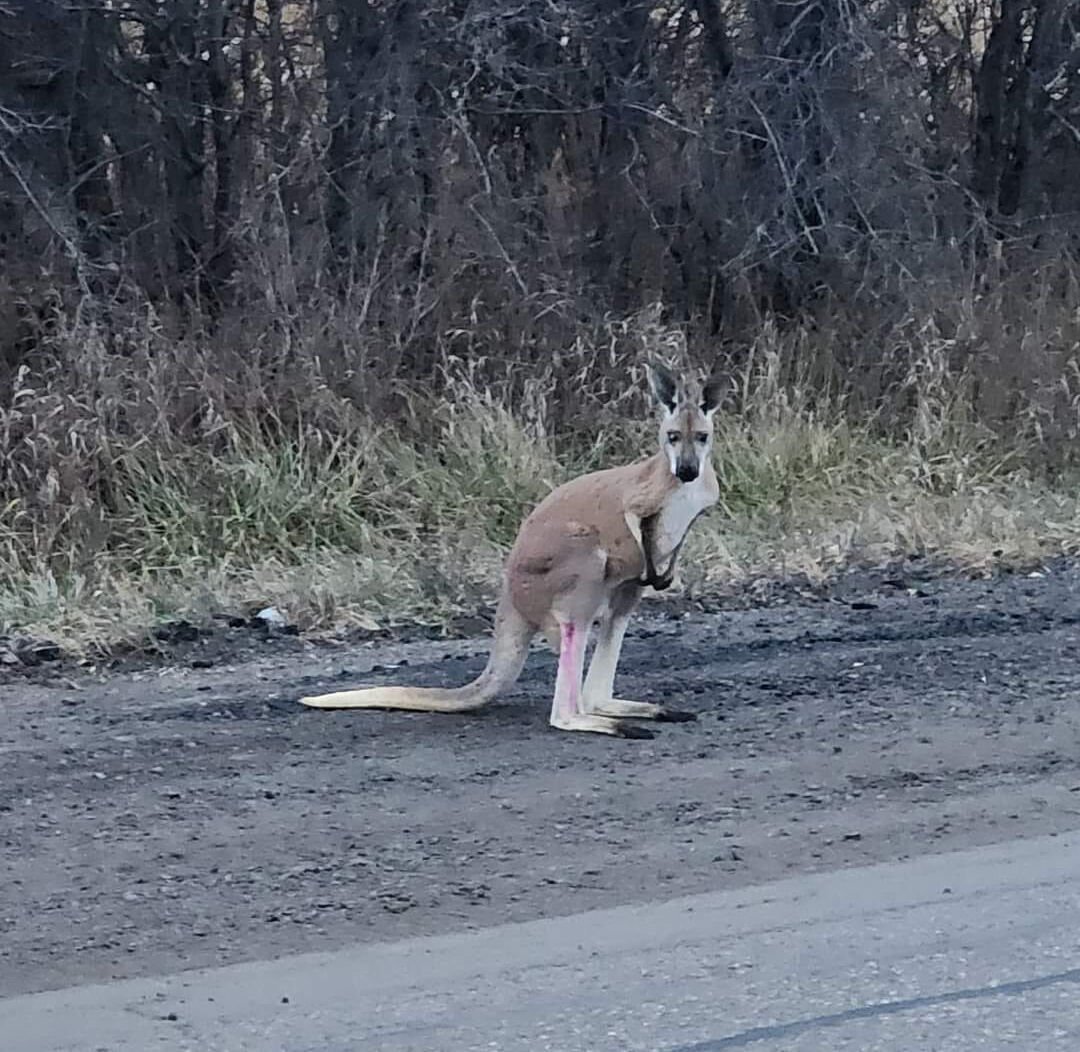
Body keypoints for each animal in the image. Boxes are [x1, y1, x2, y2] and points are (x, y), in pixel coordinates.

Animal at [299, 360, 722, 738]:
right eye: (672, 436)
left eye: (702, 437)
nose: (687, 470)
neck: (679, 484)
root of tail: (511, 595)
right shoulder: (637, 499)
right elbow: (634, 523)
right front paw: (655, 563)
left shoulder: (697, 508)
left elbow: (674, 543)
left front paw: (667, 573)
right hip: (579, 566)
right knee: (568, 690)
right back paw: (607, 724)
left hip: (621, 589)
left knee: (609, 643)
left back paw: (648, 711)